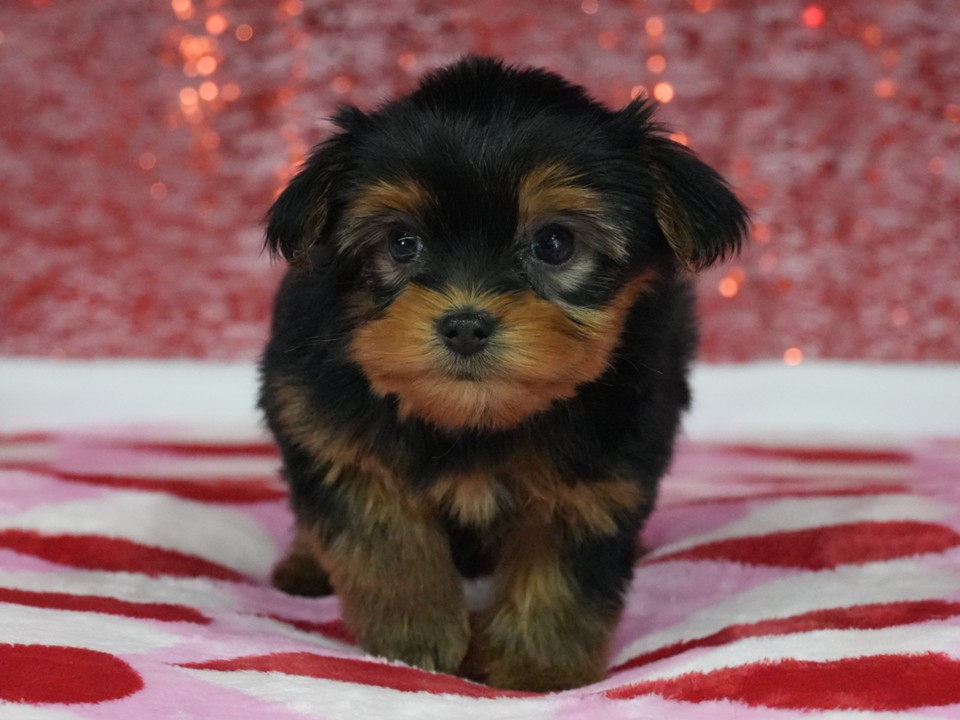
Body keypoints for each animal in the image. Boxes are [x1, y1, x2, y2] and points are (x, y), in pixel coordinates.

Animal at [259, 56, 748, 692]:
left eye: (555, 243)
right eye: (402, 243)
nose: (465, 325)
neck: (477, 417)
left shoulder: (602, 467)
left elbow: (561, 568)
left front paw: (536, 668)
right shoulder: (327, 428)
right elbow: (382, 534)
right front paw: (417, 639)